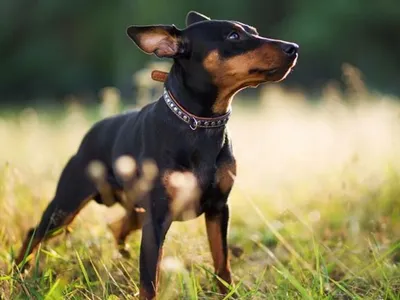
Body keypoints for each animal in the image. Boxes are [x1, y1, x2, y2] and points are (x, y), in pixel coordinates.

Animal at [16, 10, 296, 298]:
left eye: (254, 31)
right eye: (233, 36)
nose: (293, 48)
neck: (198, 125)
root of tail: (92, 132)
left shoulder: (218, 208)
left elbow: (222, 262)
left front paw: (228, 293)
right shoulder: (158, 218)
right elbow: (150, 280)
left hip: (135, 211)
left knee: (116, 227)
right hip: (67, 205)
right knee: (34, 232)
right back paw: (19, 273)